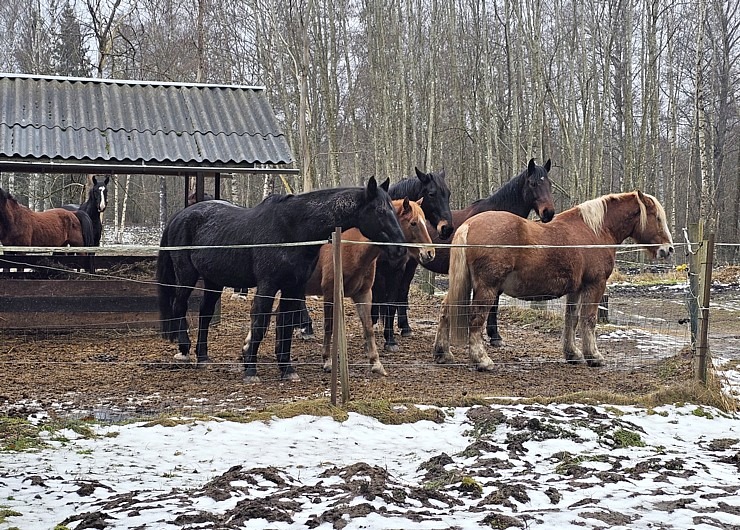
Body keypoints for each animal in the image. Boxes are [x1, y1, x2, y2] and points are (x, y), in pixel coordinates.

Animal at [157, 175, 408, 382]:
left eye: (393, 210)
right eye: (380, 211)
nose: (400, 249)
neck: (292, 229)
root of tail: (179, 216)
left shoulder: (293, 288)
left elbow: (286, 325)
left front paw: (287, 369)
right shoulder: (268, 286)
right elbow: (261, 324)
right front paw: (251, 370)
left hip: (214, 281)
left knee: (205, 314)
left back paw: (203, 357)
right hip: (187, 275)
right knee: (179, 305)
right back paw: (184, 349)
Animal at [304, 196, 436, 374]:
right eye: (413, 223)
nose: (429, 253)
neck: (350, 246)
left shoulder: (363, 294)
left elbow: (368, 326)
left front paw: (376, 362)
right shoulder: (330, 294)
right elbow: (329, 326)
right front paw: (327, 360)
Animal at [372, 155, 552, 348]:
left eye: (549, 183)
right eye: (533, 183)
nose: (548, 212)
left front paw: (492, 335)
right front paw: (491, 335)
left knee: (402, 291)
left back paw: (405, 328)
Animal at [434, 189, 676, 368]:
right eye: (657, 218)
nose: (668, 249)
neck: (594, 231)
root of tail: (469, 225)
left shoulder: (575, 289)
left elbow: (572, 320)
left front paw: (573, 354)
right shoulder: (595, 285)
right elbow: (589, 319)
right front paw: (594, 356)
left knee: (446, 309)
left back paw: (443, 353)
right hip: (487, 288)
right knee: (476, 318)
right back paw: (482, 360)